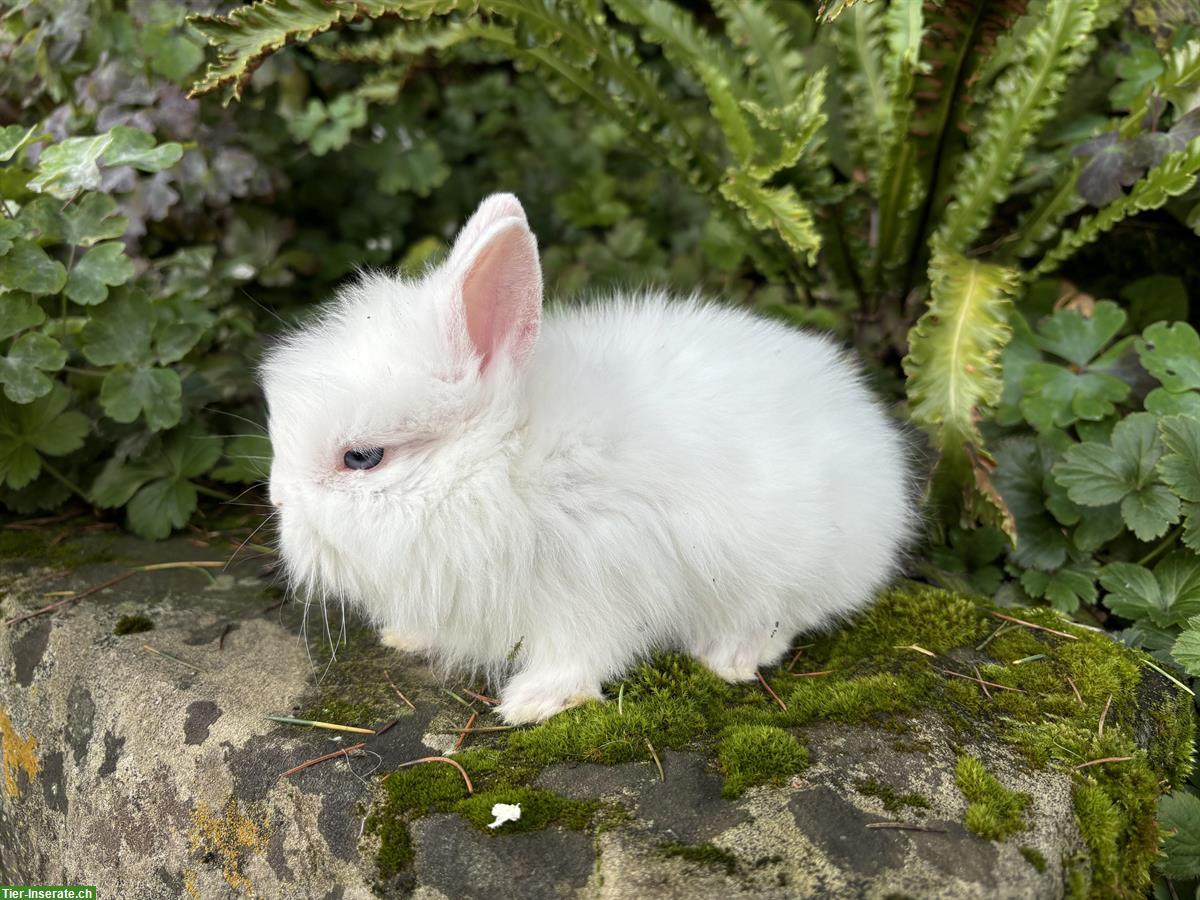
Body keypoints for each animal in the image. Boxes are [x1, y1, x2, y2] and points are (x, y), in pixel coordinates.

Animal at [262, 195, 912, 724]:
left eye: (362, 457)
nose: (277, 501)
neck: (504, 465)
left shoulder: (597, 586)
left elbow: (582, 654)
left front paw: (531, 702)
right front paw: (405, 636)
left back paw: (731, 656)